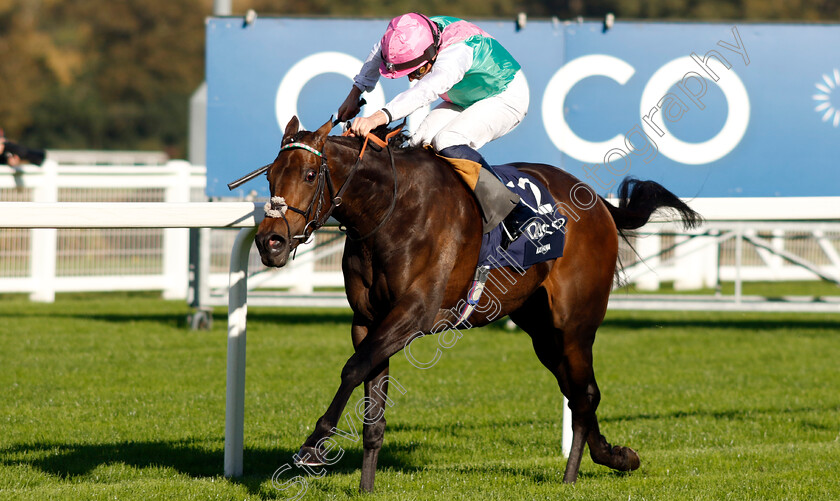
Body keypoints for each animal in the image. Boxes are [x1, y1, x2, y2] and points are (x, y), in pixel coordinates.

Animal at [253, 117, 700, 492]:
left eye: (310, 174)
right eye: (272, 174)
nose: (269, 242)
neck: (390, 210)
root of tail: (600, 204)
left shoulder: (414, 313)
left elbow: (352, 368)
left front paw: (313, 445)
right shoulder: (367, 320)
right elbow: (371, 404)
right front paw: (365, 487)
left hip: (575, 324)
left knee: (585, 393)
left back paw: (581, 473)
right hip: (541, 329)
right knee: (576, 393)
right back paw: (611, 457)